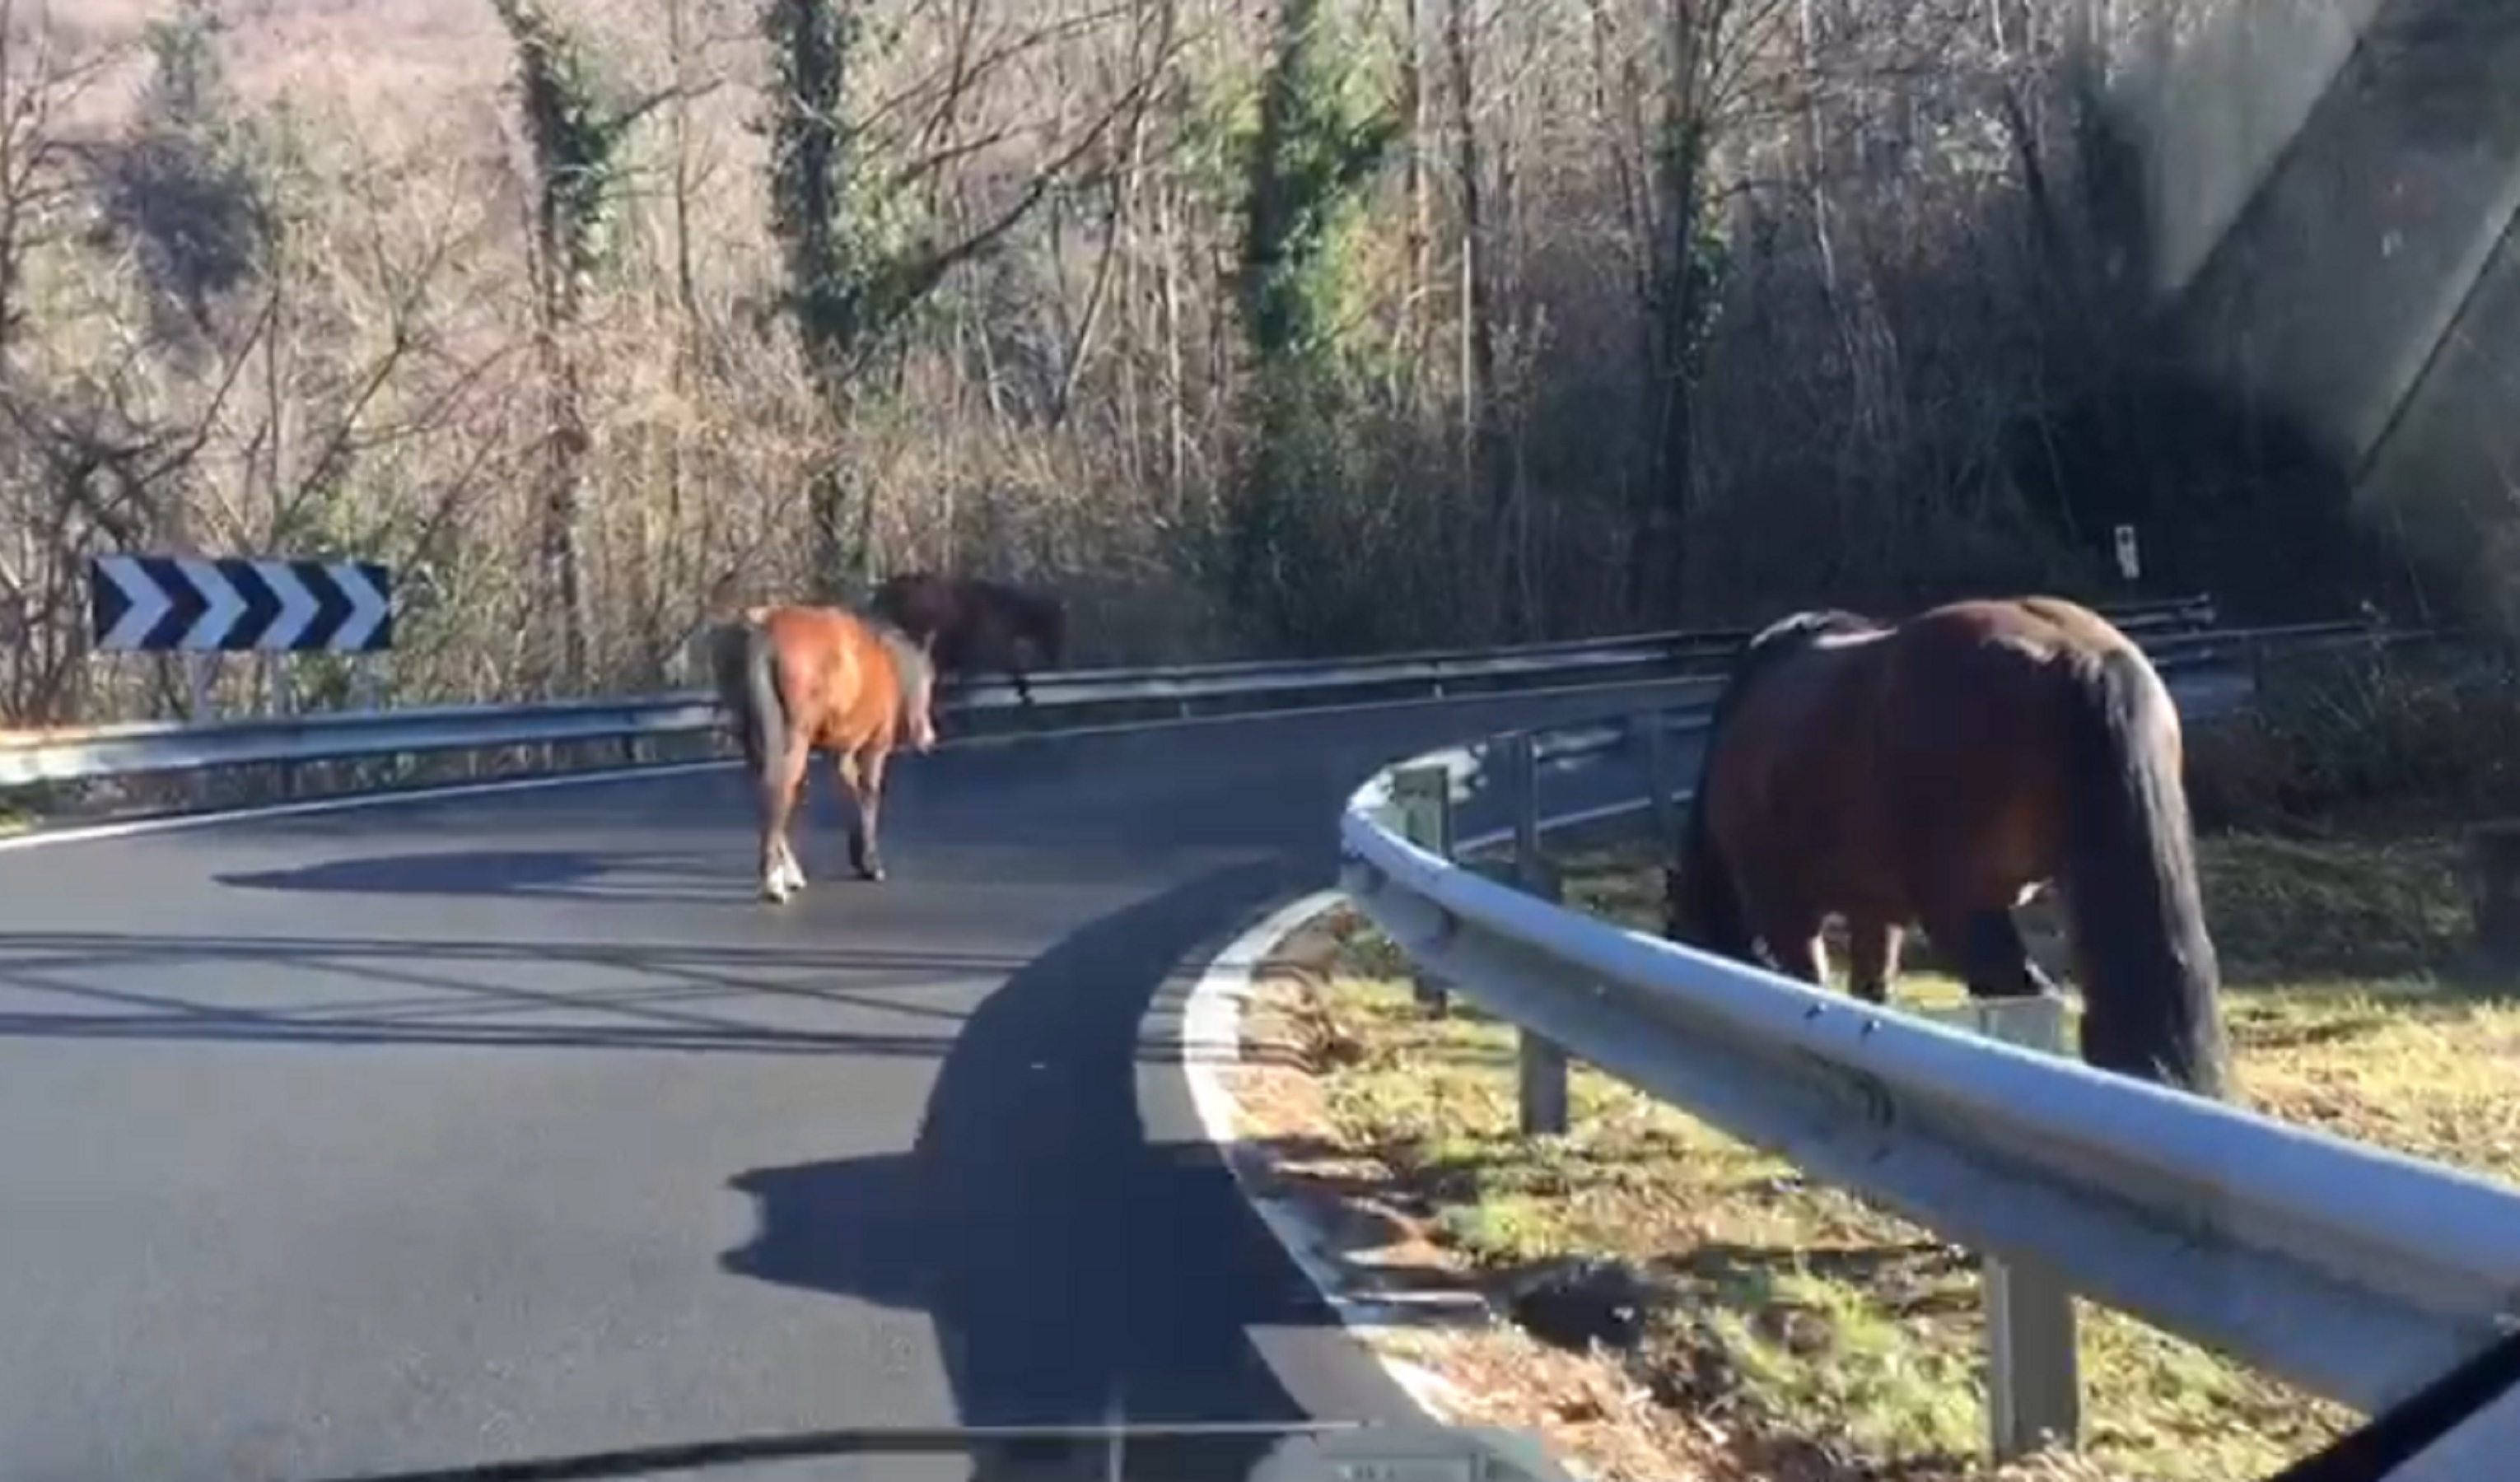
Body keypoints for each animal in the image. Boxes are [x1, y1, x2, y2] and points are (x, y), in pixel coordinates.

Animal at [705, 602, 942, 902]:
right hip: (794, 736)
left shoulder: (840, 752)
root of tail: (764, 634)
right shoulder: (875, 747)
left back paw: (788, 872)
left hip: (753, 735)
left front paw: (859, 856)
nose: (928, 738)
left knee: (768, 788)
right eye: (929, 679)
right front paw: (871, 863)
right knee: (780, 787)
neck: (888, 664)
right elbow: (868, 794)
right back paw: (775, 881)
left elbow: (851, 791)